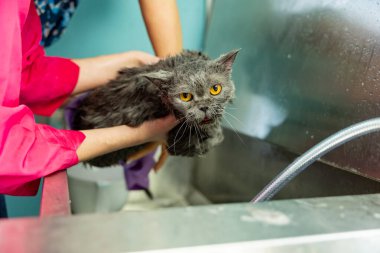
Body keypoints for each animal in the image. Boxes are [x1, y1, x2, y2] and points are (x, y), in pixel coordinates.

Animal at [71, 50, 238, 167]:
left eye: (215, 89)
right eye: (185, 96)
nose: (204, 107)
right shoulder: (180, 143)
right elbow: (214, 140)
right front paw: (215, 131)